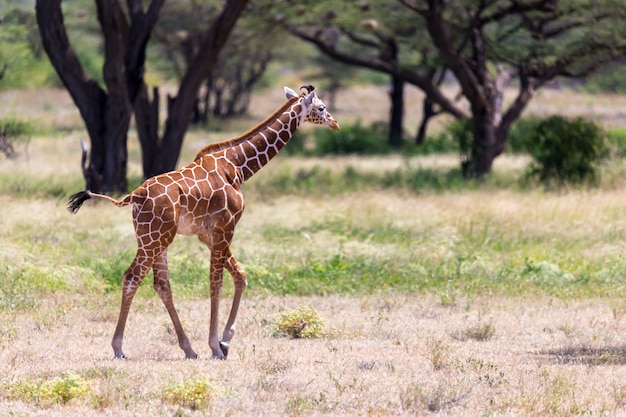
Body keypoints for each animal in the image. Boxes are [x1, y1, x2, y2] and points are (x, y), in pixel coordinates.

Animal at [67, 85, 338, 358]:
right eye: (321, 107)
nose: (334, 123)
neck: (238, 166)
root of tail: (136, 195)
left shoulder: (206, 233)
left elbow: (240, 275)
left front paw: (225, 341)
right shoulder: (226, 226)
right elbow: (216, 283)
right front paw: (216, 345)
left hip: (155, 238)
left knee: (161, 284)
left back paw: (188, 348)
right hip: (156, 239)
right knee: (132, 277)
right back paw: (119, 347)